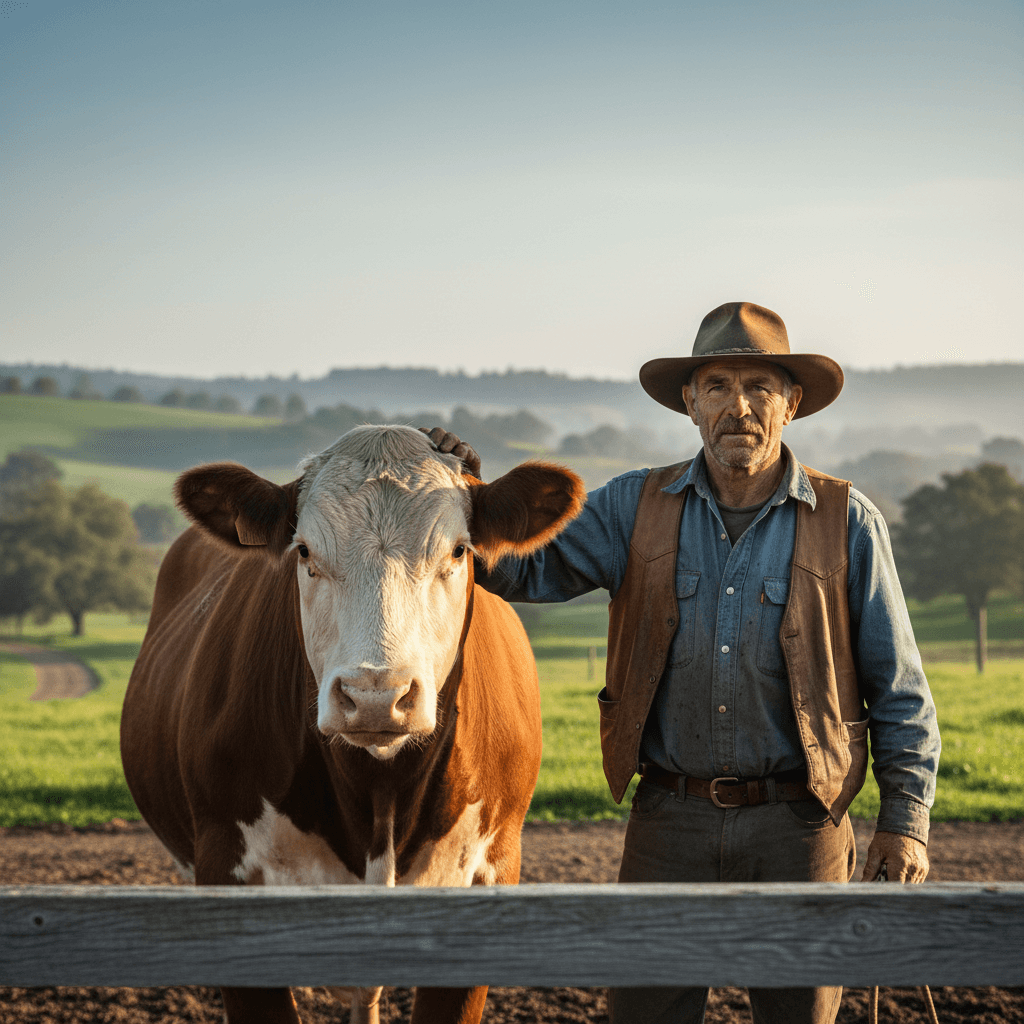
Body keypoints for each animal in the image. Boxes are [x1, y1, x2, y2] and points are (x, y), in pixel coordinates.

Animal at [120, 425, 586, 1024]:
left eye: (459, 550)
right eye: (305, 552)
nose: (375, 696)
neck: (378, 796)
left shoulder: (488, 872)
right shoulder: (226, 867)